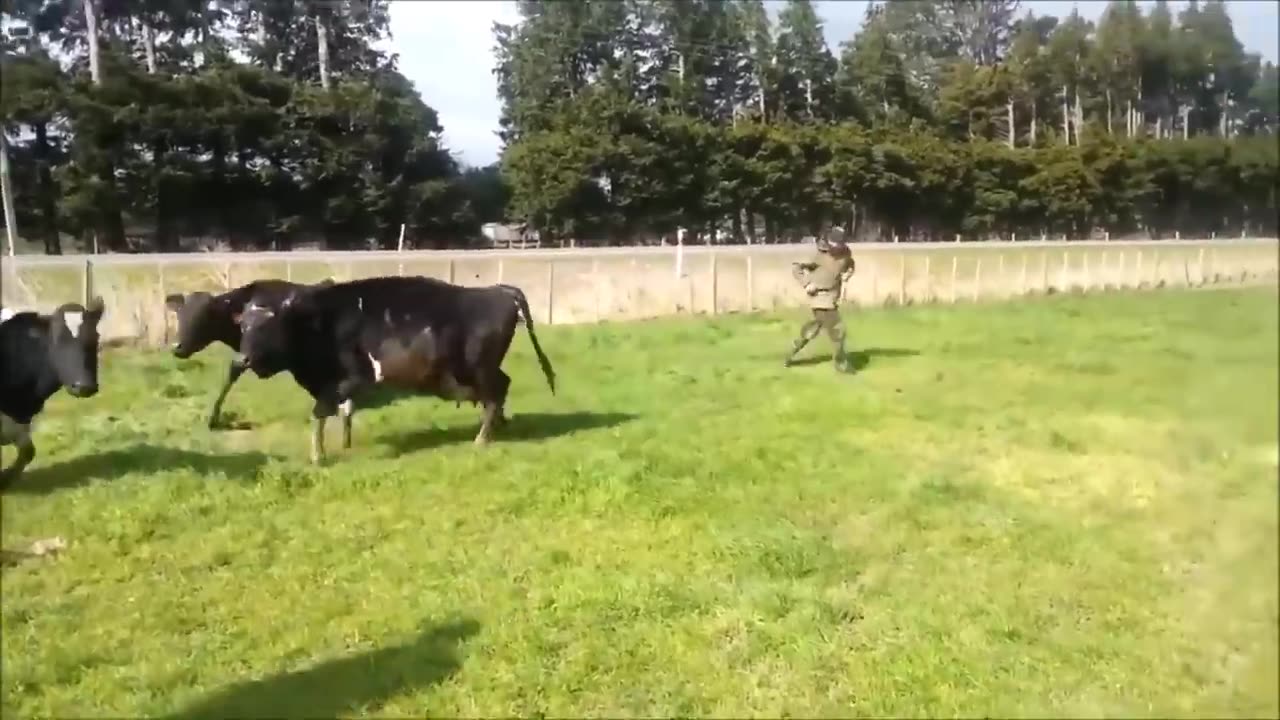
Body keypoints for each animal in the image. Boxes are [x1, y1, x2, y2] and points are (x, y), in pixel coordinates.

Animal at [238, 271, 558, 461]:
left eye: (267, 326)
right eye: (242, 327)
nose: (243, 359)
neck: (320, 323)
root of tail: (497, 290)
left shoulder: (347, 380)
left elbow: (320, 413)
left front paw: (318, 456)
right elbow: (340, 414)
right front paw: (342, 445)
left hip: (480, 369)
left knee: (495, 393)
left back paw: (481, 438)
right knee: (500, 389)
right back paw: (497, 428)